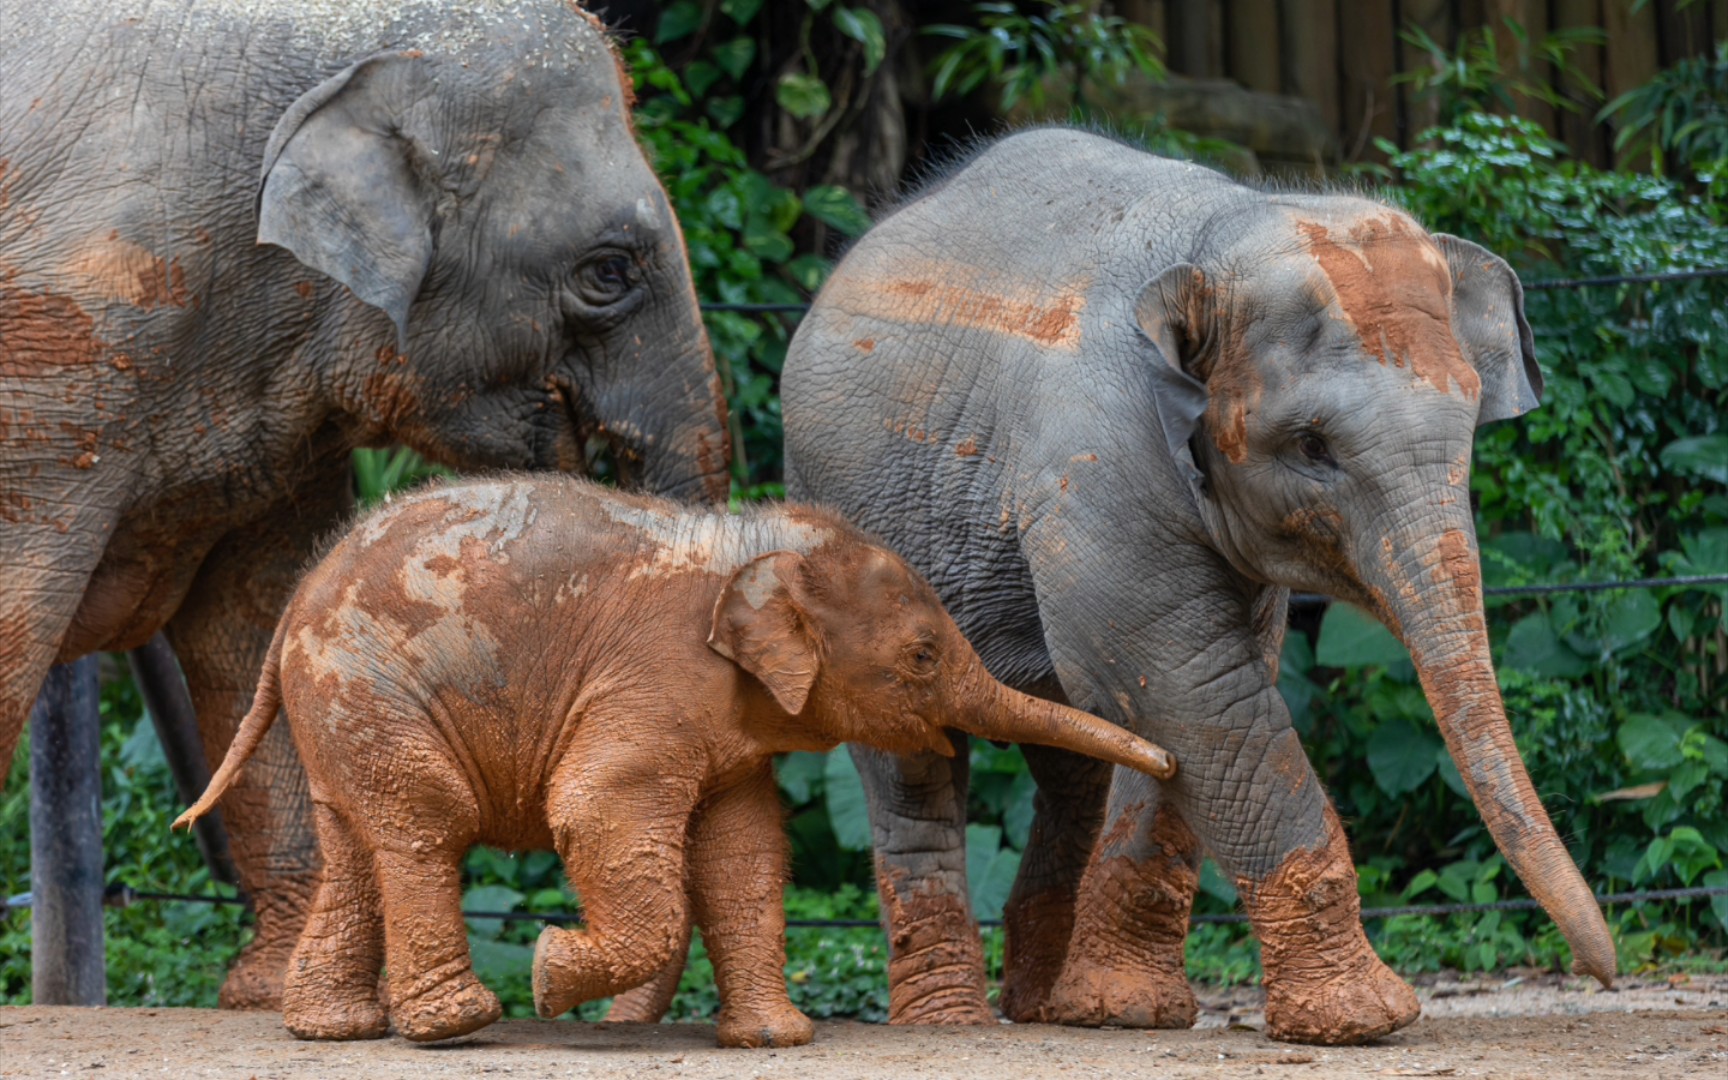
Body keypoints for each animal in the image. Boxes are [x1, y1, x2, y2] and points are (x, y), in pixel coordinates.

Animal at [175, 473, 1175, 1043]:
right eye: (925, 657)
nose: (1168, 763)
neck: (752, 544)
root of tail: (295, 605)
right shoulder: (654, 680)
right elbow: (595, 809)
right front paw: (549, 972)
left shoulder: (724, 720)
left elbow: (744, 851)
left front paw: (775, 1042)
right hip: (368, 687)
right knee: (426, 823)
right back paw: (461, 1025)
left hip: (342, 708)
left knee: (358, 842)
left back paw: (336, 1032)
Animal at [784, 128, 1617, 1043]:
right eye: (1313, 445)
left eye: (1470, 425)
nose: (1604, 974)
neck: (1228, 229)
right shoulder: (1102, 459)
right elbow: (1186, 680)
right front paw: (1363, 1018)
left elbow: (1179, 698)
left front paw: (1122, 1012)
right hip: (840, 513)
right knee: (911, 763)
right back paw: (950, 1021)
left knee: (1073, 758)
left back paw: (1042, 1009)